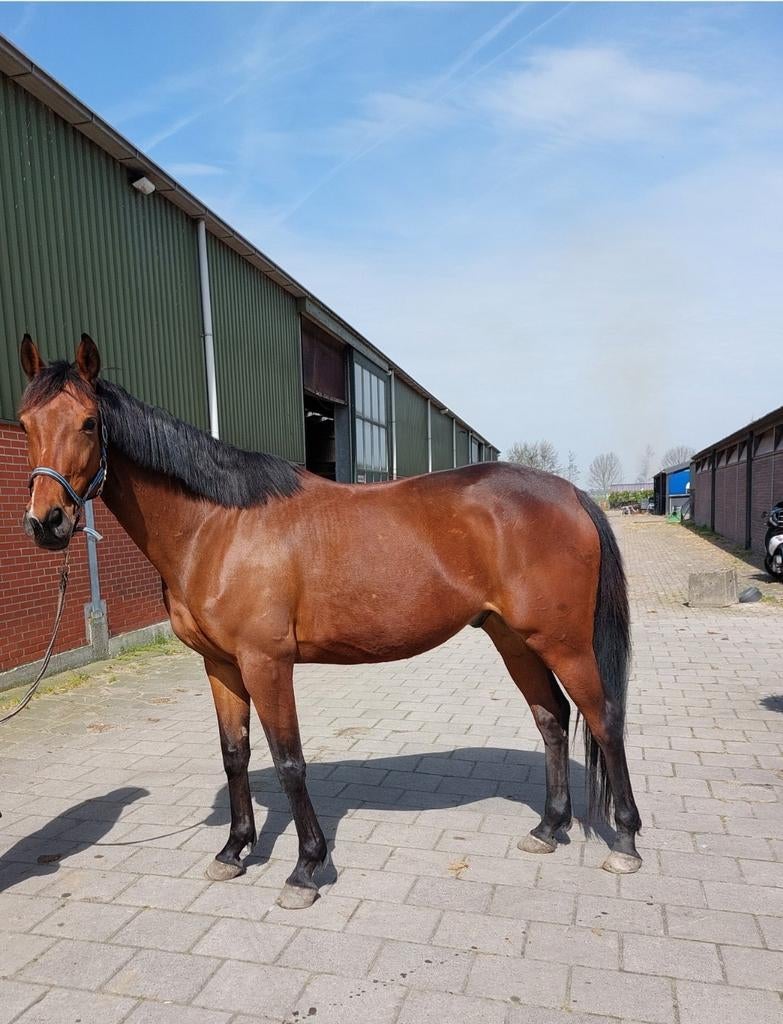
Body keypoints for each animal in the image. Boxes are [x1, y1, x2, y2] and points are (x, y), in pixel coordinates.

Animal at [17, 333, 642, 909]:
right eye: (24, 423)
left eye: (90, 423)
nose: (47, 522)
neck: (218, 527)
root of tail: (572, 494)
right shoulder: (220, 665)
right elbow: (234, 754)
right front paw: (233, 850)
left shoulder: (267, 663)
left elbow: (289, 761)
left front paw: (305, 869)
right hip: (513, 638)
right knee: (552, 717)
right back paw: (549, 827)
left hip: (563, 642)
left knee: (604, 717)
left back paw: (626, 842)